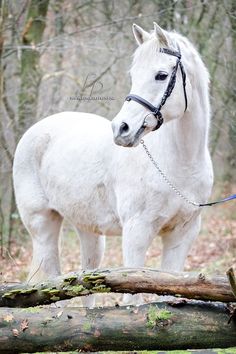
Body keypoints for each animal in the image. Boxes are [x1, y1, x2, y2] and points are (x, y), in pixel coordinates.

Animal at [12, 22, 214, 304]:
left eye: (161, 75)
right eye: (133, 74)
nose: (122, 129)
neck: (180, 165)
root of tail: (35, 130)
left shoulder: (182, 234)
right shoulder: (137, 232)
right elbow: (132, 300)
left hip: (88, 230)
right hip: (42, 225)